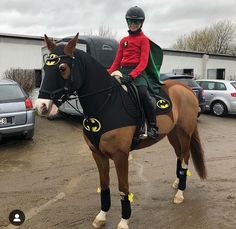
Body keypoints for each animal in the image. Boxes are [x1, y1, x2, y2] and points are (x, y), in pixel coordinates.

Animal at [35, 33, 206, 229]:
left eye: (62, 68)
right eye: (45, 68)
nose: (41, 106)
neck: (106, 103)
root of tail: (186, 88)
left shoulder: (120, 156)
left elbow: (123, 188)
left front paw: (124, 221)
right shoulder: (98, 155)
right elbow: (104, 186)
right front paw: (101, 216)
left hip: (185, 133)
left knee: (185, 157)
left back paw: (180, 193)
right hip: (172, 133)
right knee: (178, 155)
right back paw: (177, 183)